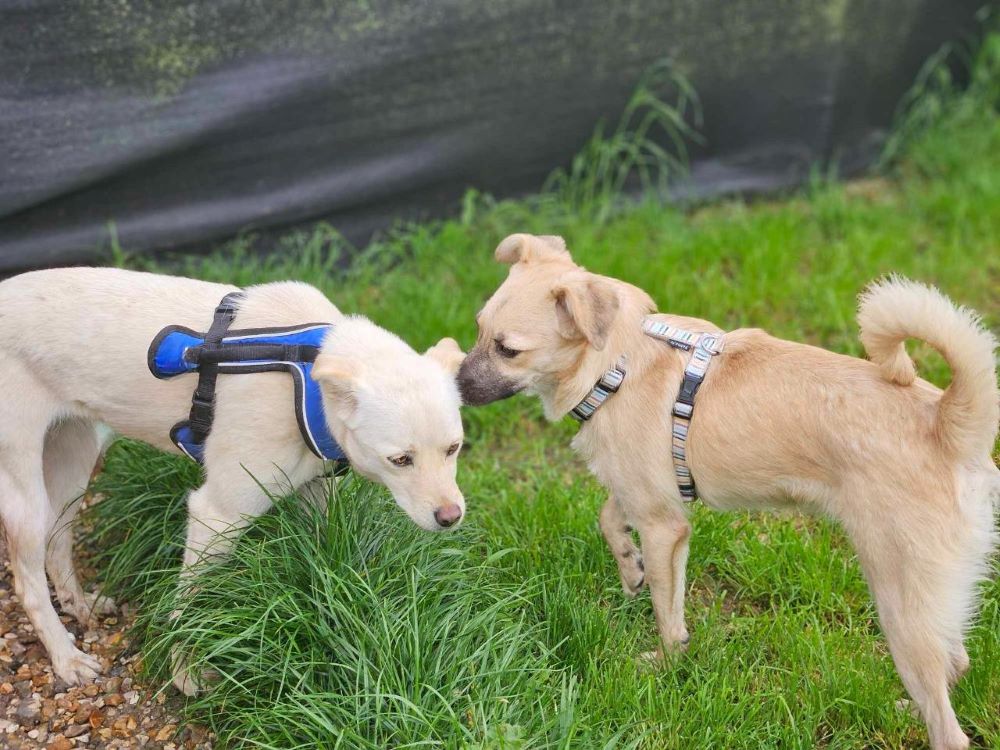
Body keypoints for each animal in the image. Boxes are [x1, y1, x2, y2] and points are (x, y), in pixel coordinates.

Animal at [0, 268, 464, 696]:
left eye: (454, 448)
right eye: (400, 460)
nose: (451, 517)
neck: (307, 375)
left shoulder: (316, 496)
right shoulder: (215, 516)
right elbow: (189, 608)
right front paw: (183, 672)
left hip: (75, 465)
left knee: (58, 542)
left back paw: (80, 605)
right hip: (25, 494)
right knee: (28, 582)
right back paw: (66, 657)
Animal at [458, 235, 996, 750]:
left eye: (508, 349)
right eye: (478, 328)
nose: (456, 388)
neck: (617, 364)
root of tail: (948, 422)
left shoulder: (664, 526)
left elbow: (667, 610)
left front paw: (667, 661)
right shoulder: (645, 494)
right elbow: (609, 518)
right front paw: (629, 568)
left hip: (899, 599)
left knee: (950, 727)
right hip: (930, 598)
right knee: (955, 662)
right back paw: (909, 707)